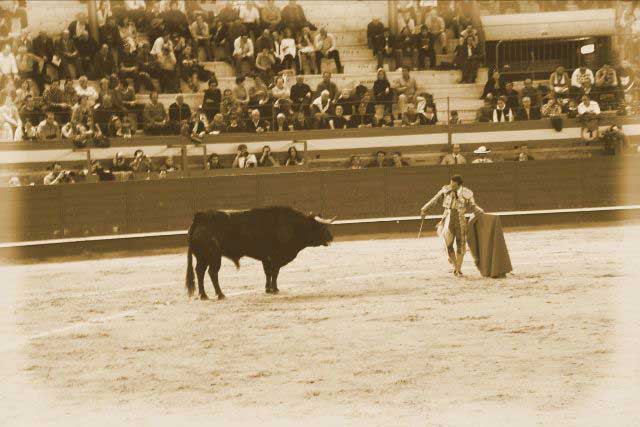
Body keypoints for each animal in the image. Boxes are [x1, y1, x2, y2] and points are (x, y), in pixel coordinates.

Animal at [185, 205, 336, 300]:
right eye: (321, 226)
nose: (331, 237)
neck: (292, 225)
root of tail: (200, 217)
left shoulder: (266, 258)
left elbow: (268, 273)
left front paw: (268, 289)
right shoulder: (276, 257)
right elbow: (275, 273)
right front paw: (275, 289)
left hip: (202, 257)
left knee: (200, 272)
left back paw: (203, 295)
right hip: (213, 256)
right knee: (212, 273)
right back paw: (220, 294)